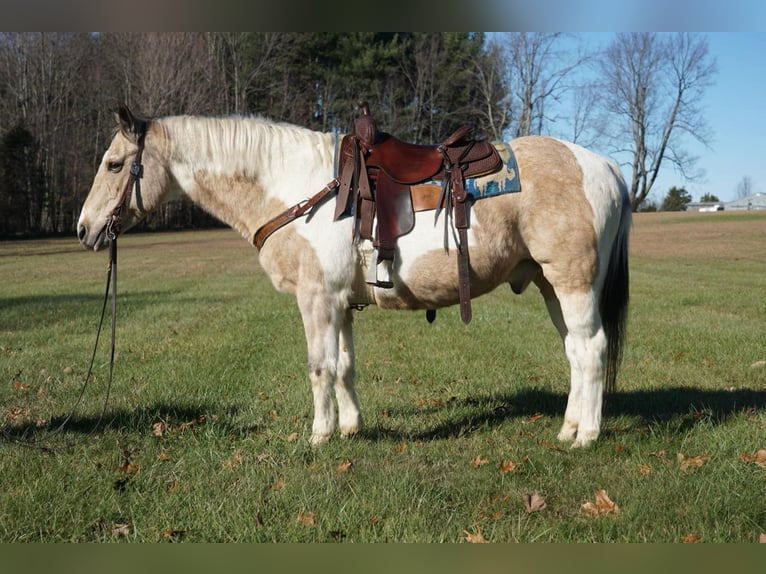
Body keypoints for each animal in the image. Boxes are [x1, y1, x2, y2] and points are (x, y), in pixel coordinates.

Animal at [77, 105, 631, 448]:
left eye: (114, 164)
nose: (84, 229)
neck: (293, 188)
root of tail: (604, 165)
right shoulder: (341, 304)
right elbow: (343, 366)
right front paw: (350, 428)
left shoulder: (317, 300)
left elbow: (319, 367)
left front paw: (319, 435)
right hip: (549, 286)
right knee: (575, 352)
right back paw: (569, 428)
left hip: (574, 284)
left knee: (592, 349)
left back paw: (586, 436)